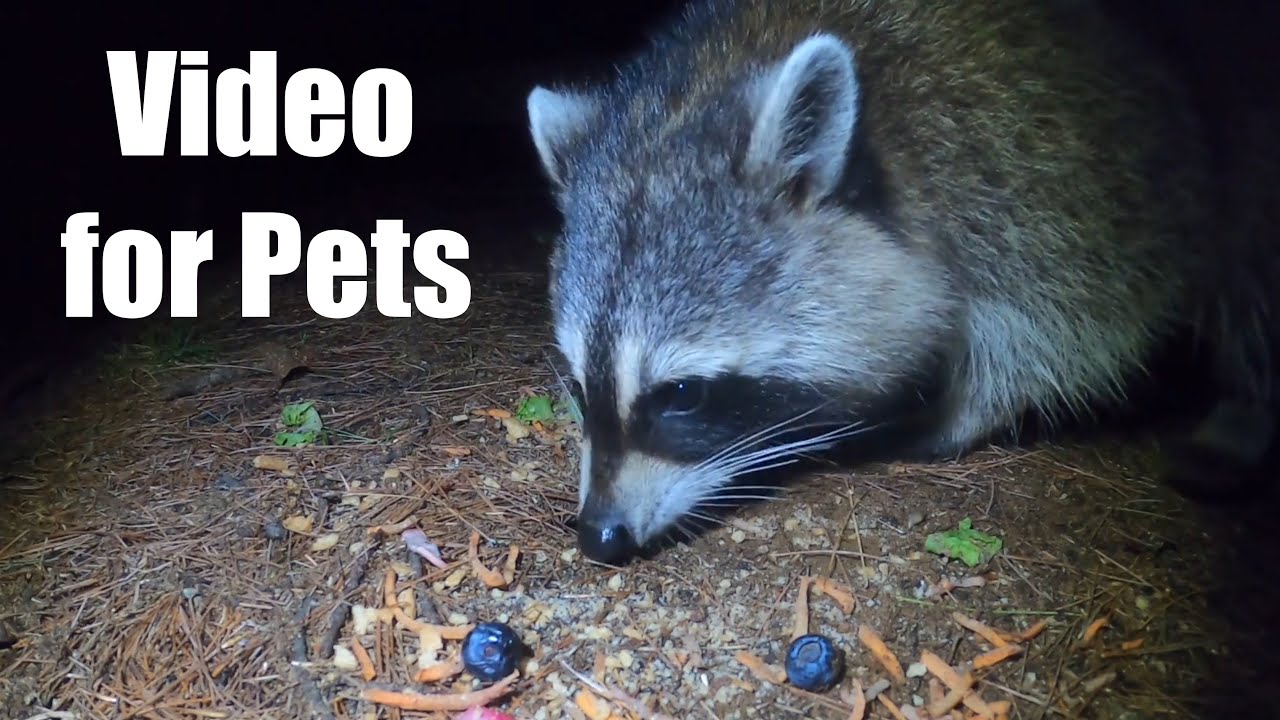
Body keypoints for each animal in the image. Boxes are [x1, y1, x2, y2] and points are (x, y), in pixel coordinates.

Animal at [524, 0, 1279, 565]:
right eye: (577, 385)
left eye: (683, 395)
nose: (599, 535)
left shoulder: (1044, 174)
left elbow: (1078, 325)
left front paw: (955, 411)